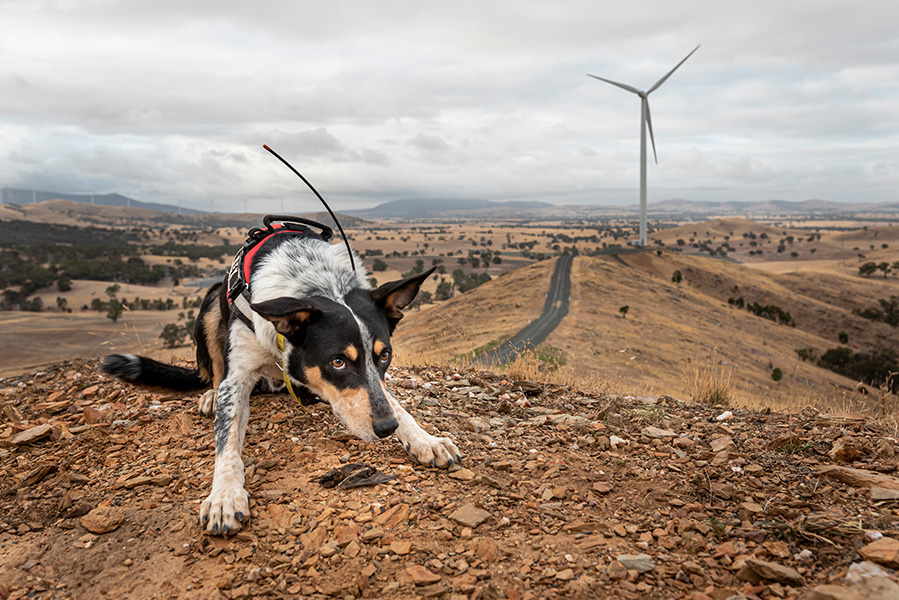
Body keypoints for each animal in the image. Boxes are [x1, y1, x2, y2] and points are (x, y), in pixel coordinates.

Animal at [102, 218, 460, 536]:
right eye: (338, 362)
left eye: (384, 356)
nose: (386, 429)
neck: (314, 279)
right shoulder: (237, 378)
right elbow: (226, 443)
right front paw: (224, 495)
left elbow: (394, 403)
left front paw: (425, 439)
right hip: (210, 305)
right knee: (213, 371)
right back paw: (210, 395)